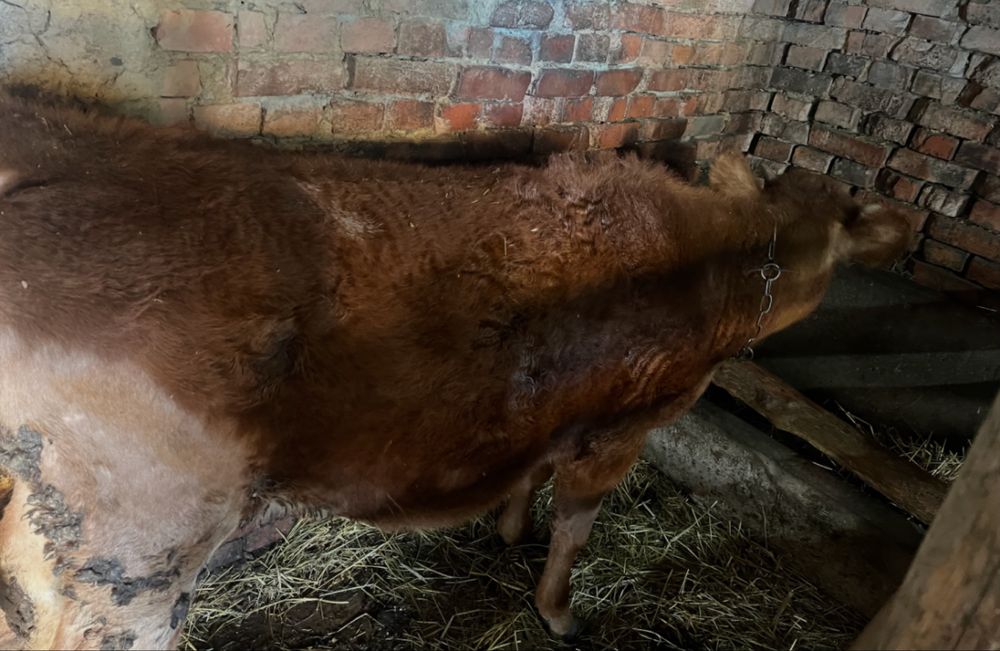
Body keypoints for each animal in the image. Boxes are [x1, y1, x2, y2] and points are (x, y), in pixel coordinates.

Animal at [0, 92, 910, 650]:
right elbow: (577, 526)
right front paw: (558, 613)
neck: (726, 260)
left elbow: (527, 477)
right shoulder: (623, 425)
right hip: (135, 549)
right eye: (846, 227)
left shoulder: (547, 415)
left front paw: (507, 531)